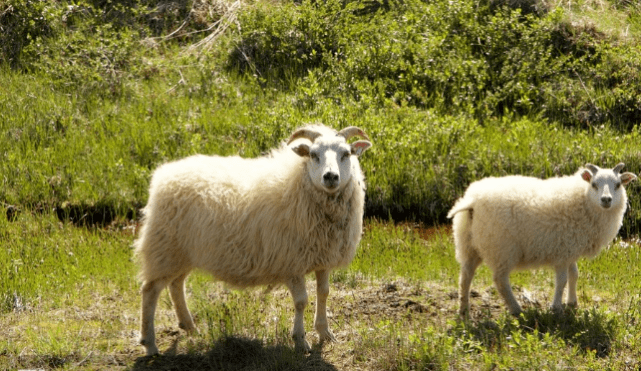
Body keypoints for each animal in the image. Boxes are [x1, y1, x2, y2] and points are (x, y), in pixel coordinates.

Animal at [134, 123, 372, 356]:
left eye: (346, 153)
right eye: (313, 155)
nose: (330, 177)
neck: (299, 183)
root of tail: (164, 175)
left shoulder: (323, 257)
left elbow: (323, 293)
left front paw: (325, 332)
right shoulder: (291, 261)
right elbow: (301, 302)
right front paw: (300, 340)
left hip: (183, 252)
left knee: (176, 284)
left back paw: (189, 326)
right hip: (164, 246)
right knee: (150, 291)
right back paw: (150, 344)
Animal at [444, 164, 636, 318]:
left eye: (618, 185)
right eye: (594, 184)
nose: (606, 200)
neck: (583, 200)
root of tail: (472, 201)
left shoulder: (570, 248)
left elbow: (574, 275)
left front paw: (572, 303)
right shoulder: (562, 251)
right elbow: (562, 280)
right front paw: (557, 308)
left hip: (469, 243)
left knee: (465, 277)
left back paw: (464, 310)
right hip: (501, 247)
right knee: (500, 280)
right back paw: (516, 309)